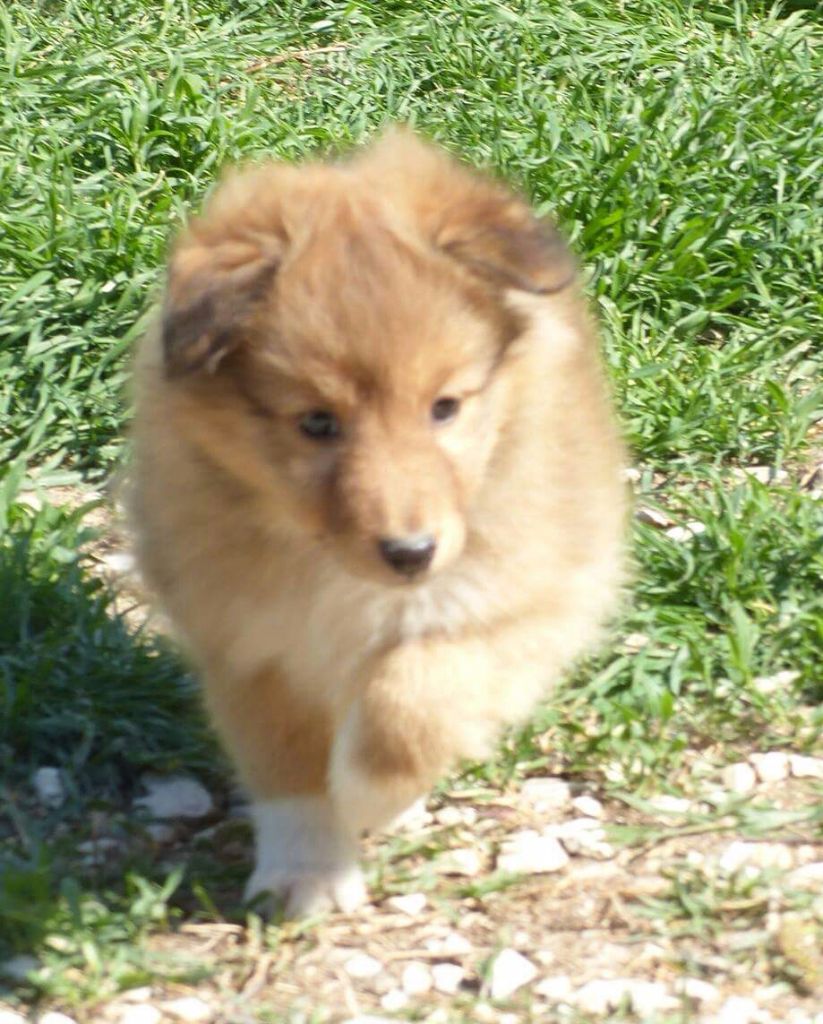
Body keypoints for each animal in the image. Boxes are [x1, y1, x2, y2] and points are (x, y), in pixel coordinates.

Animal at [130, 128, 627, 917]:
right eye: (316, 422)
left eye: (445, 407)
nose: (411, 552)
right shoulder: (249, 641)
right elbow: (287, 765)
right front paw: (306, 870)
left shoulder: (522, 602)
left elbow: (411, 701)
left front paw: (371, 795)